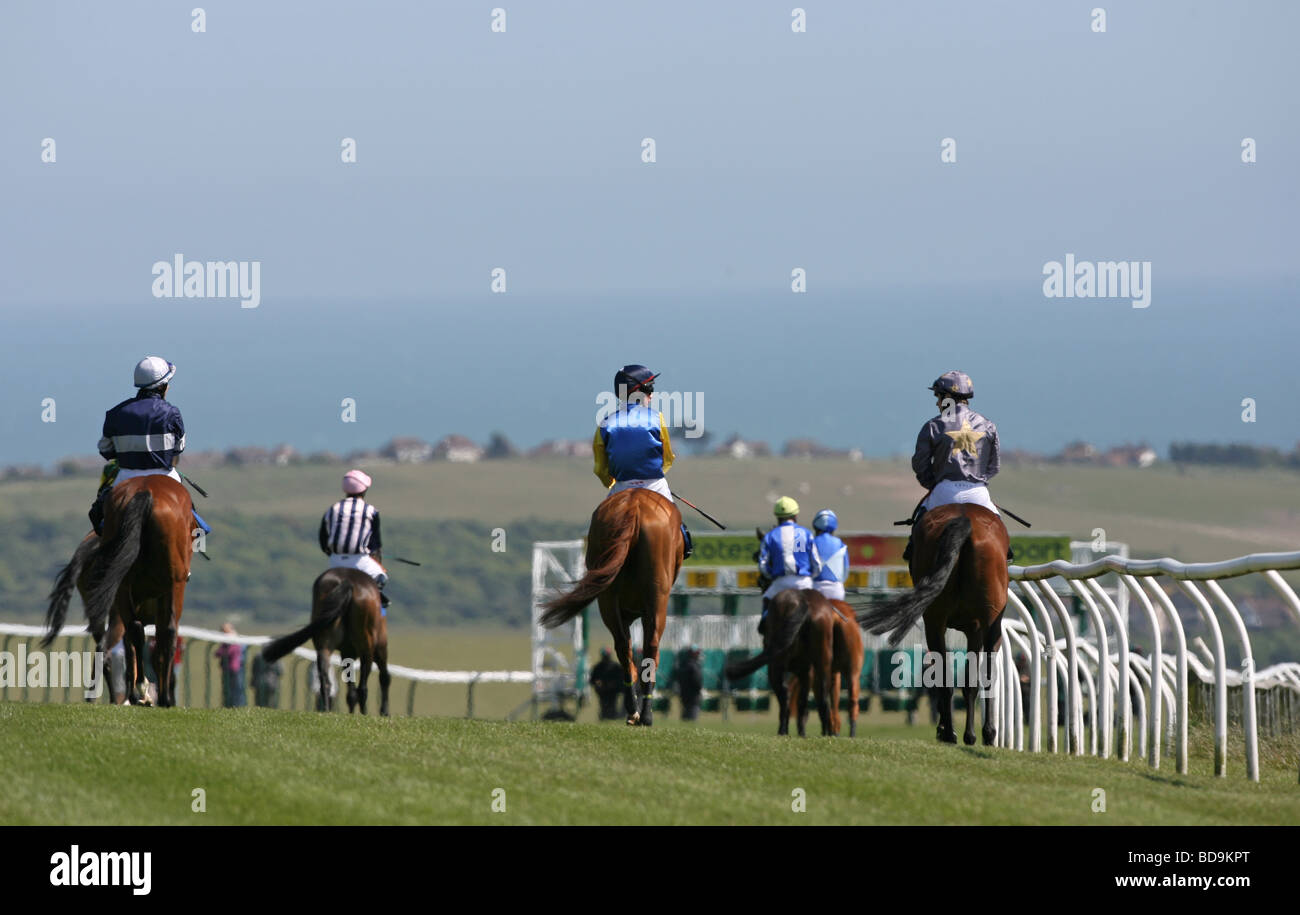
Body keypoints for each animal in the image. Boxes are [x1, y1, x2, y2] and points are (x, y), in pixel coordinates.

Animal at [43, 475, 193, 712]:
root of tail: (145, 492)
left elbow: (133, 651)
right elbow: (157, 648)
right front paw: (158, 695)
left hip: (114, 594)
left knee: (111, 645)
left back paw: (113, 696)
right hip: (168, 586)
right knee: (162, 634)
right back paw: (153, 697)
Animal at [260, 564, 390, 717]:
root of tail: (347, 582)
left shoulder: (347, 652)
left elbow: (350, 690)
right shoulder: (379, 647)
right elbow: (383, 677)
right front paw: (383, 712)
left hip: (325, 643)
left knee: (325, 680)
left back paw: (327, 709)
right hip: (367, 645)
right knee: (365, 685)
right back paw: (364, 712)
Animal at [538, 488, 686, 727]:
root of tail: (634, 505)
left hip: (607, 599)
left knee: (623, 649)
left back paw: (632, 711)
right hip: (656, 599)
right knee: (650, 648)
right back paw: (645, 715)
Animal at [728, 592, 837, 738]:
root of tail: (803, 601)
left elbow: (785, 696)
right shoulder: (806, 671)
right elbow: (802, 700)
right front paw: (802, 731)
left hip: (776, 665)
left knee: (784, 695)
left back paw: (783, 730)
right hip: (822, 662)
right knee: (822, 697)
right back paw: (824, 733)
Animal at [857, 504, 1008, 748]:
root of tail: (964, 521)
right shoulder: (987, 627)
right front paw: (986, 733)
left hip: (935, 621)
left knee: (945, 680)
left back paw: (953, 733)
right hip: (970, 624)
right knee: (968, 680)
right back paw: (967, 734)